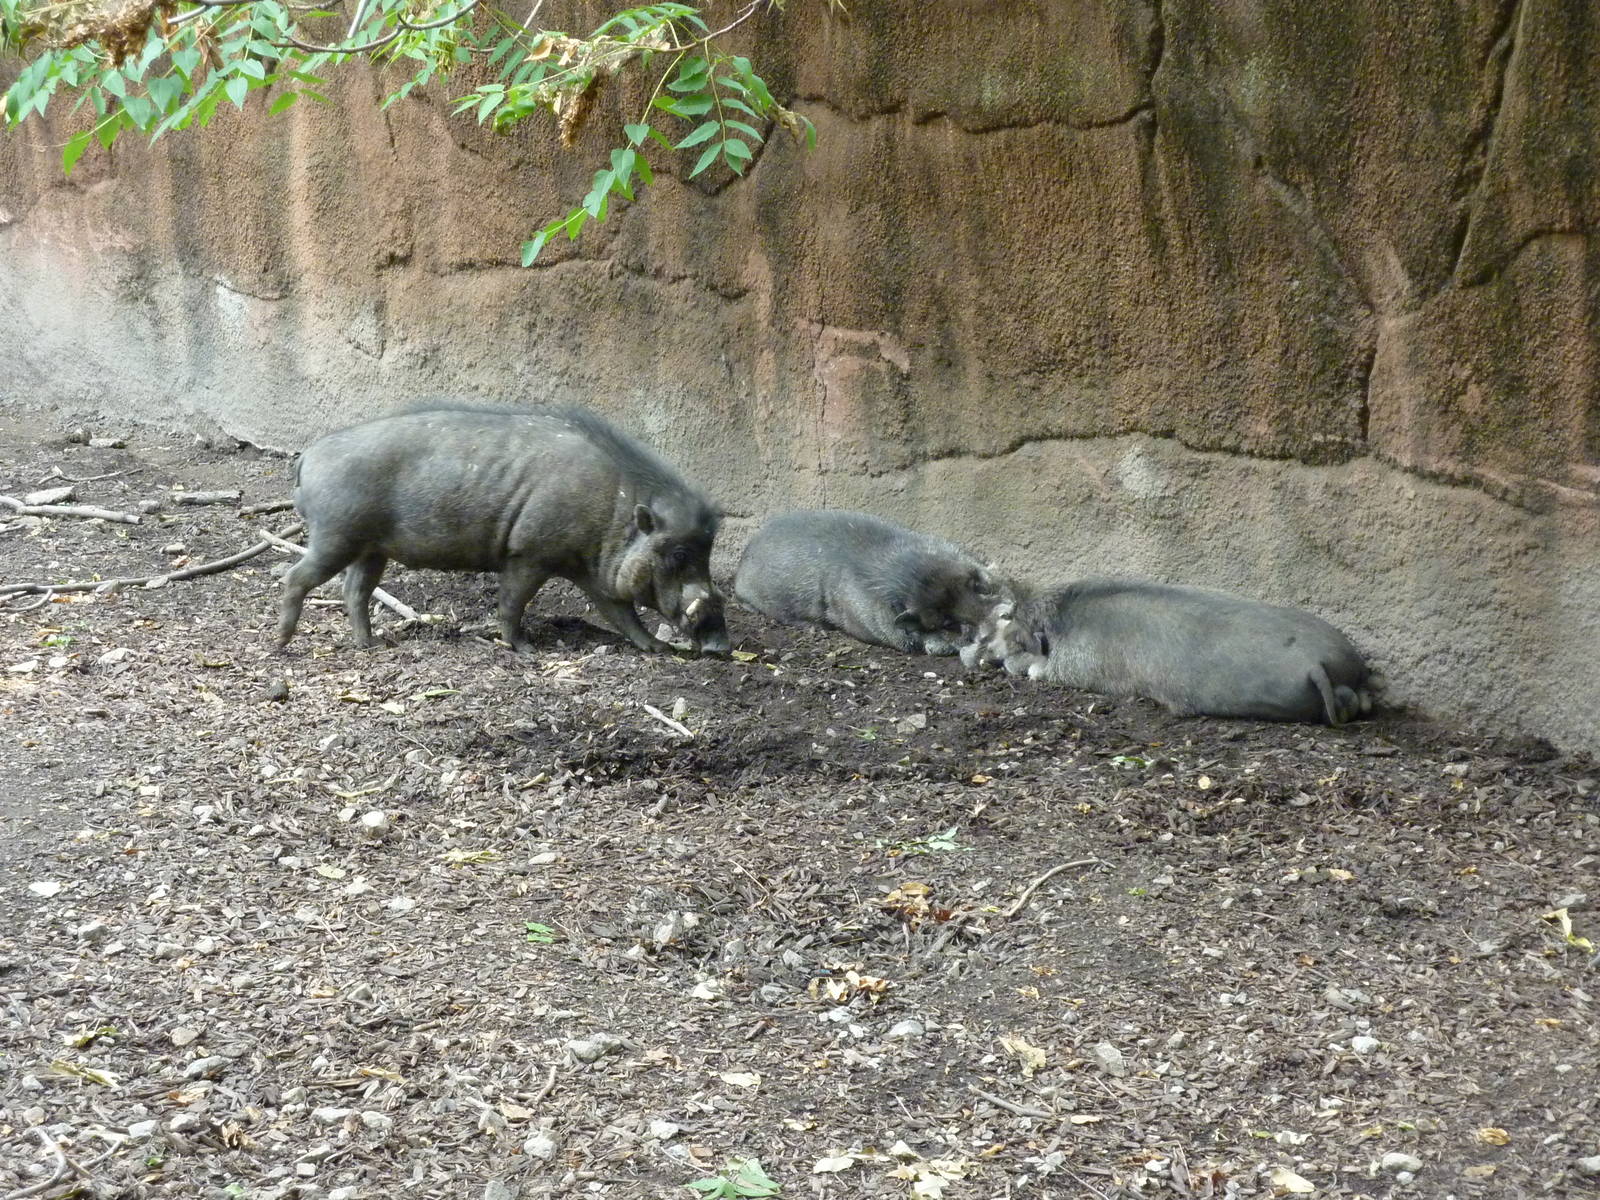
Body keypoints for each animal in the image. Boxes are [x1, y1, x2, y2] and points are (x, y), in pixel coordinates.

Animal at [276, 404, 729, 656]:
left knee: (355, 590)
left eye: (708, 551)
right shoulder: (529, 553)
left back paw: (370, 645)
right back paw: (281, 644)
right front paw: (527, 651)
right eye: (677, 554)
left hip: (372, 549)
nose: (721, 647)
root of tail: (308, 456)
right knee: (295, 578)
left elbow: (622, 613)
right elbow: (513, 603)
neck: (614, 510)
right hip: (335, 536)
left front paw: (658, 649)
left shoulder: (592, 571)